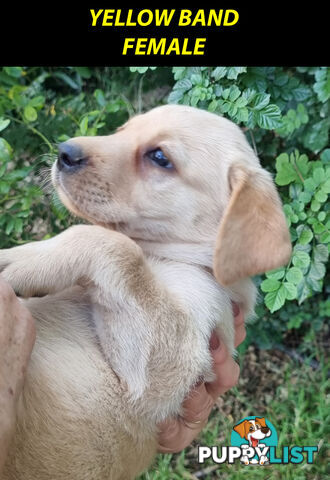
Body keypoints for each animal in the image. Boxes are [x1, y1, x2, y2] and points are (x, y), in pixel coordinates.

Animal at [0, 106, 292, 480]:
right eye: (123, 130)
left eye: (160, 158)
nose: (64, 152)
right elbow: (117, 243)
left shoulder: (162, 370)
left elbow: (116, 246)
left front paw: (23, 259)